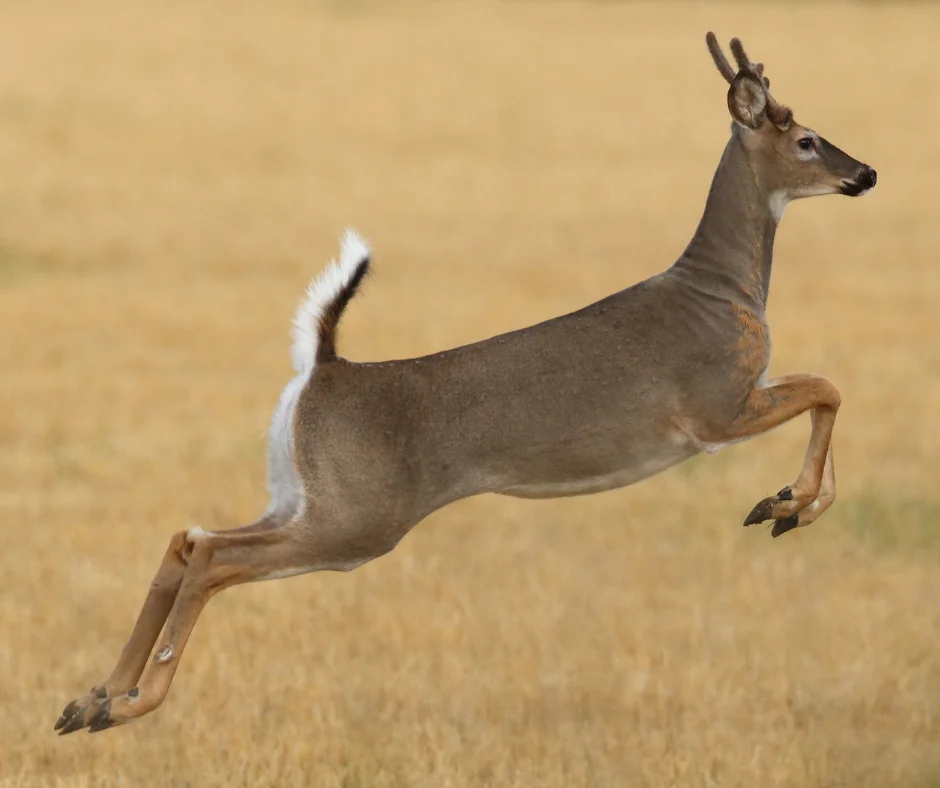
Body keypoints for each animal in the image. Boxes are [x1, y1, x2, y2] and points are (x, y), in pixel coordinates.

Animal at [55, 32, 876, 733]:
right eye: (805, 139)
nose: (864, 172)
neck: (721, 291)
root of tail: (321, 367)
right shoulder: (713, 410)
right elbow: (828, 386)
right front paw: (784, 505)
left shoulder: (729, 408)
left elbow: (827, 391)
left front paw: (788, 506)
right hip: (358, 518)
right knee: (213, 559)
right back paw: (128, 704)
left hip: (302, 497)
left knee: (188, 538)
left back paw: (90, 700)